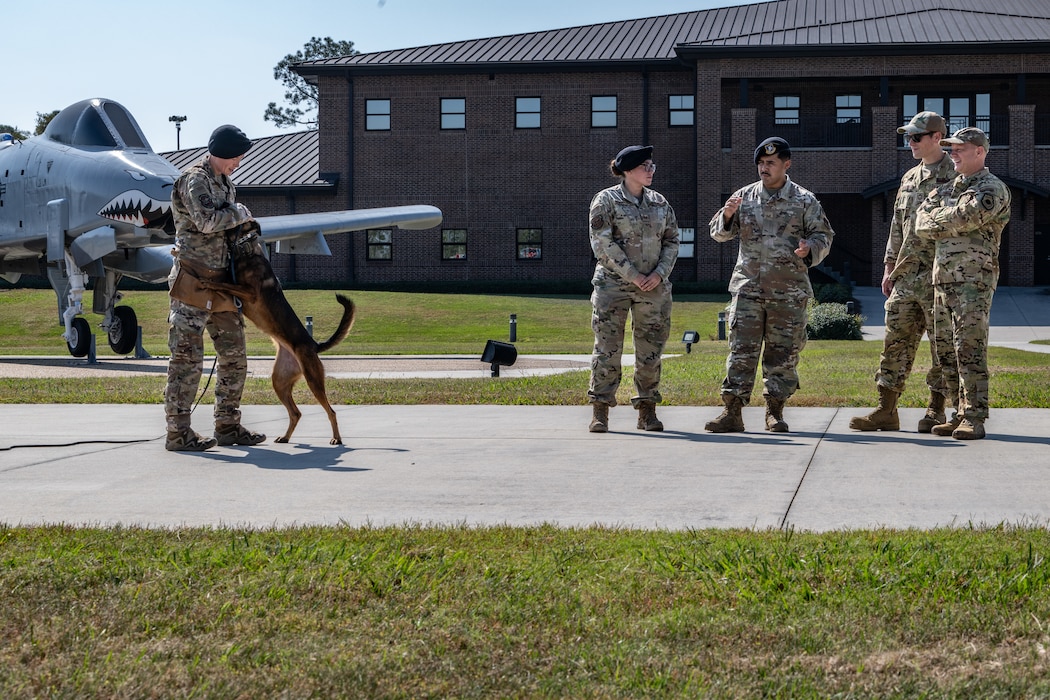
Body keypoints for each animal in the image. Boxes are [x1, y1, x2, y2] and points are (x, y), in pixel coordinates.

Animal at [198, 221, 354, 447]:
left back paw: (336, 438)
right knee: (296, 413)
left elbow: (224, 283)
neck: (245, 251)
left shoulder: (249, 292)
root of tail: (314, 344)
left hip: (313, 380)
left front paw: (206, 281)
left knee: (330, 411)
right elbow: (226, 279)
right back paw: (286, 437)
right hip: (279, 381)